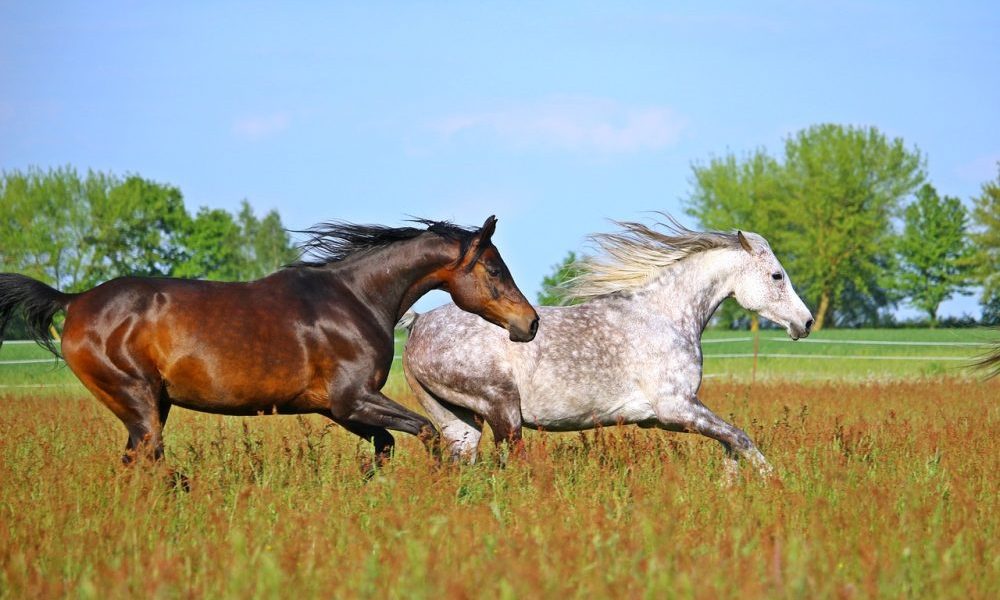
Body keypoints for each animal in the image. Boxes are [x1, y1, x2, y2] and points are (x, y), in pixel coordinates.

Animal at [0, 216, 539, 473]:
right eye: (495, 269)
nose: (529, 323)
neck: (356, 298)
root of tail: (75, 300)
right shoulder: (353, 399)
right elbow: (426, 432)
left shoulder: (336, 408)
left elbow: (385, 445)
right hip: (138, 402)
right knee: (148, 461)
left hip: (152, 405)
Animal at [402, 218, 813, 477]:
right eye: (777, 276)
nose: (806, 322)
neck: (664, 315)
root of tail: (417, 322)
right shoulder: (676, 408)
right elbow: (740, 438)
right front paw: (773, 484)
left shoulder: (663, 416)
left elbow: (730, 443)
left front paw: (730, 485)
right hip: (502, 410)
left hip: (459, 422)